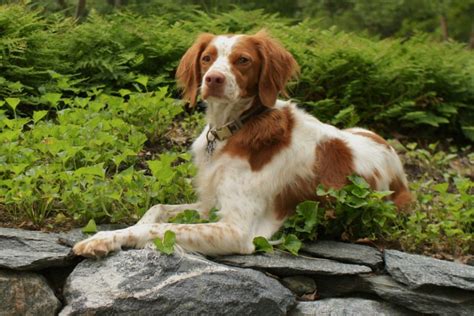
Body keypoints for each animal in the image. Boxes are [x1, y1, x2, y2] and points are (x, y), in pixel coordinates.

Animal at [72, 30, 410, 258]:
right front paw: (116, 231)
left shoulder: (237, 230)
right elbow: (157, 209)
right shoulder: (208, 205)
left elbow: (155, 228)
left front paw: (105, 238)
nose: (213, 79)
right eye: (207, 58)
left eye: (243, 60)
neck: (236, 129)